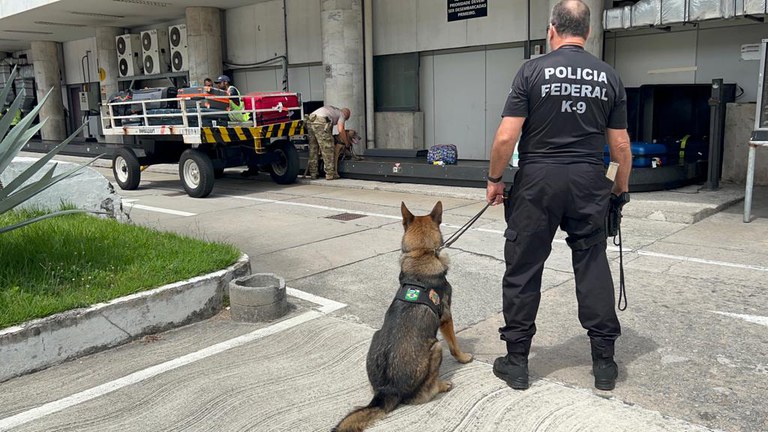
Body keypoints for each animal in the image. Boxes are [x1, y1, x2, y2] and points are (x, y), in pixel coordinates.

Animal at [332, 202, 472, 432]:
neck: (421, 253)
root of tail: (388, 390)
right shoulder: (446, 318)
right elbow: (454, 344)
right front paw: (463, 357)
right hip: (436, 348)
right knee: (424, 394)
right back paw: (442, 385)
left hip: (376, 336)